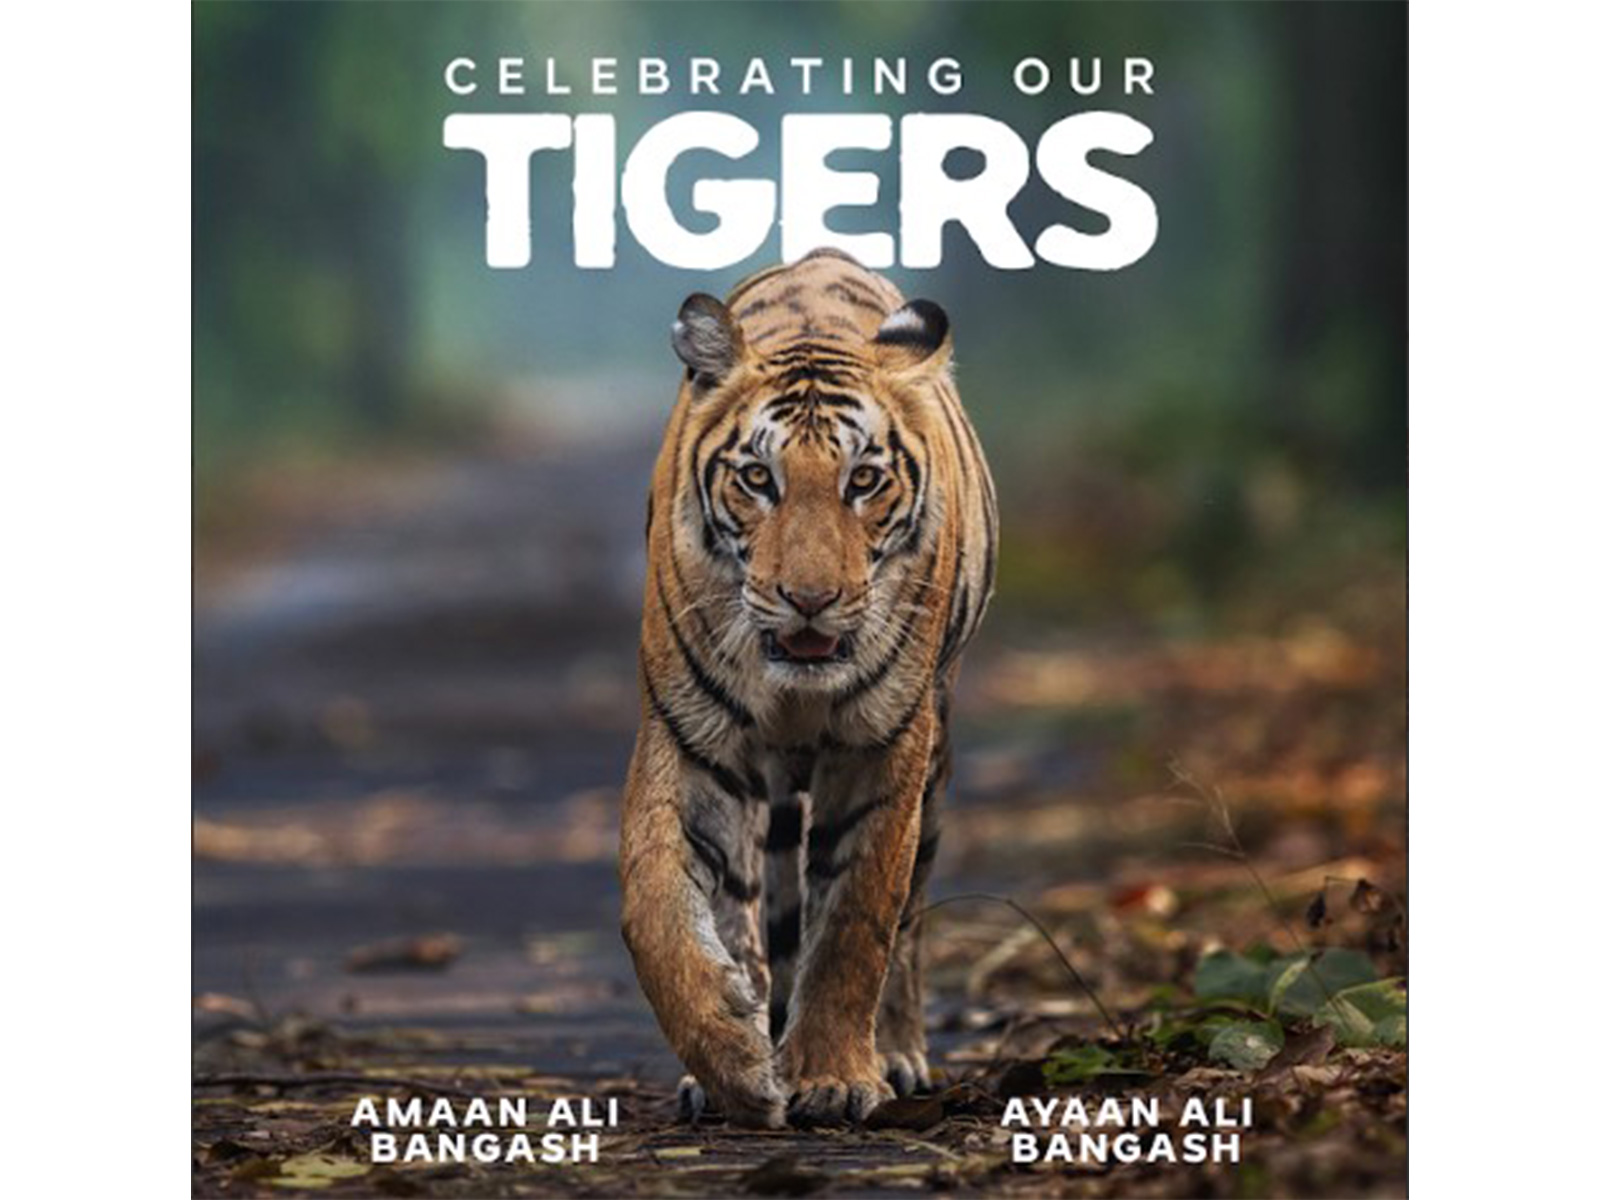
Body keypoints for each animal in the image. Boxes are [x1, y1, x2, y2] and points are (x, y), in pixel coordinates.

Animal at [618, 247, 997, 1127]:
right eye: (758, 477)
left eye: (864, 480)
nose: (810, 598)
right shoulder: (690, 737)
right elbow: (656, 906)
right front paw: (731, 1057)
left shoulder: (883, 748)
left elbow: (858, 918)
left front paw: (831, 1076)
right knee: (757, 901)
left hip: (936, 755)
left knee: (907, 915)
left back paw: (895, 1054)